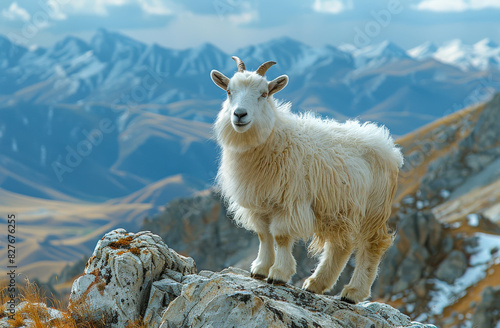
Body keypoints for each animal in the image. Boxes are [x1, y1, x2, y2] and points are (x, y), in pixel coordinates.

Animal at [210, 57, 402, 304]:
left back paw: (353, 293)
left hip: (373, 209)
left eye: (264, 94)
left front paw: (278, 274)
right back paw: (316, 283)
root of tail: (388, 145)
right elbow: (264, 235)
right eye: (228, 92)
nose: (239, 115)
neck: (274, 138)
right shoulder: (259, 203)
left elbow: (280, 236)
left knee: (372, 245)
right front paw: (260, 269)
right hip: (340, 210)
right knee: (341, 245)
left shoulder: (290, 202)